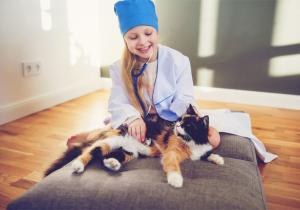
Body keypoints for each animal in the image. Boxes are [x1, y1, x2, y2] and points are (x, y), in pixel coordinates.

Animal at [44, 105, 223, 189]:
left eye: (188, 125)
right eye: (179, 120)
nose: (177, 125)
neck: (191, 141)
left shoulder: (200, 149)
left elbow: (206, 153)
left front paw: (218, 159)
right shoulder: (170, 153)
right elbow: (173, 165)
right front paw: (175, 180)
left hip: (129, 152)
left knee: (105, 157)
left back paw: (112, 164)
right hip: (112, 140)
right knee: (90, 151)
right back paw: (77, 165)